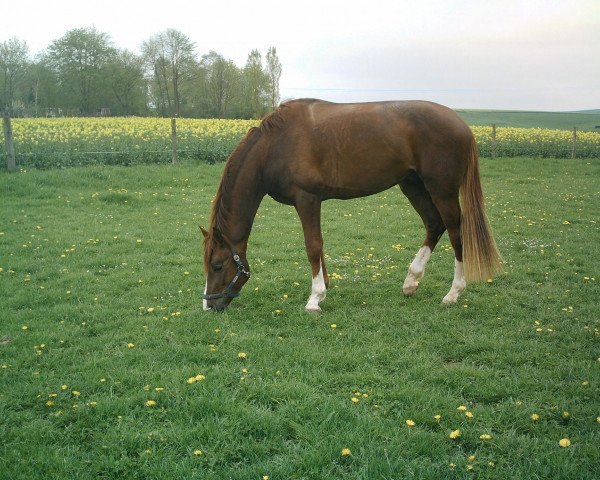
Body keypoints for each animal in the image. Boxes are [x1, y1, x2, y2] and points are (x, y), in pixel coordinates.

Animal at [202, 99, 502, 314]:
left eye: (217, 266)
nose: (209, 304)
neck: (275, 145)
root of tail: (462, 124)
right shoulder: (312, 201)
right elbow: (319, 246)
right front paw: (324, 287)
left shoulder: (307, 199)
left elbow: (313, 246)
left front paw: (315, 299)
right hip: (413, 185)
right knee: (434, 224)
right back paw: (411, 281)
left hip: (442, 189)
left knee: (455, 231)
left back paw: (453, 293)